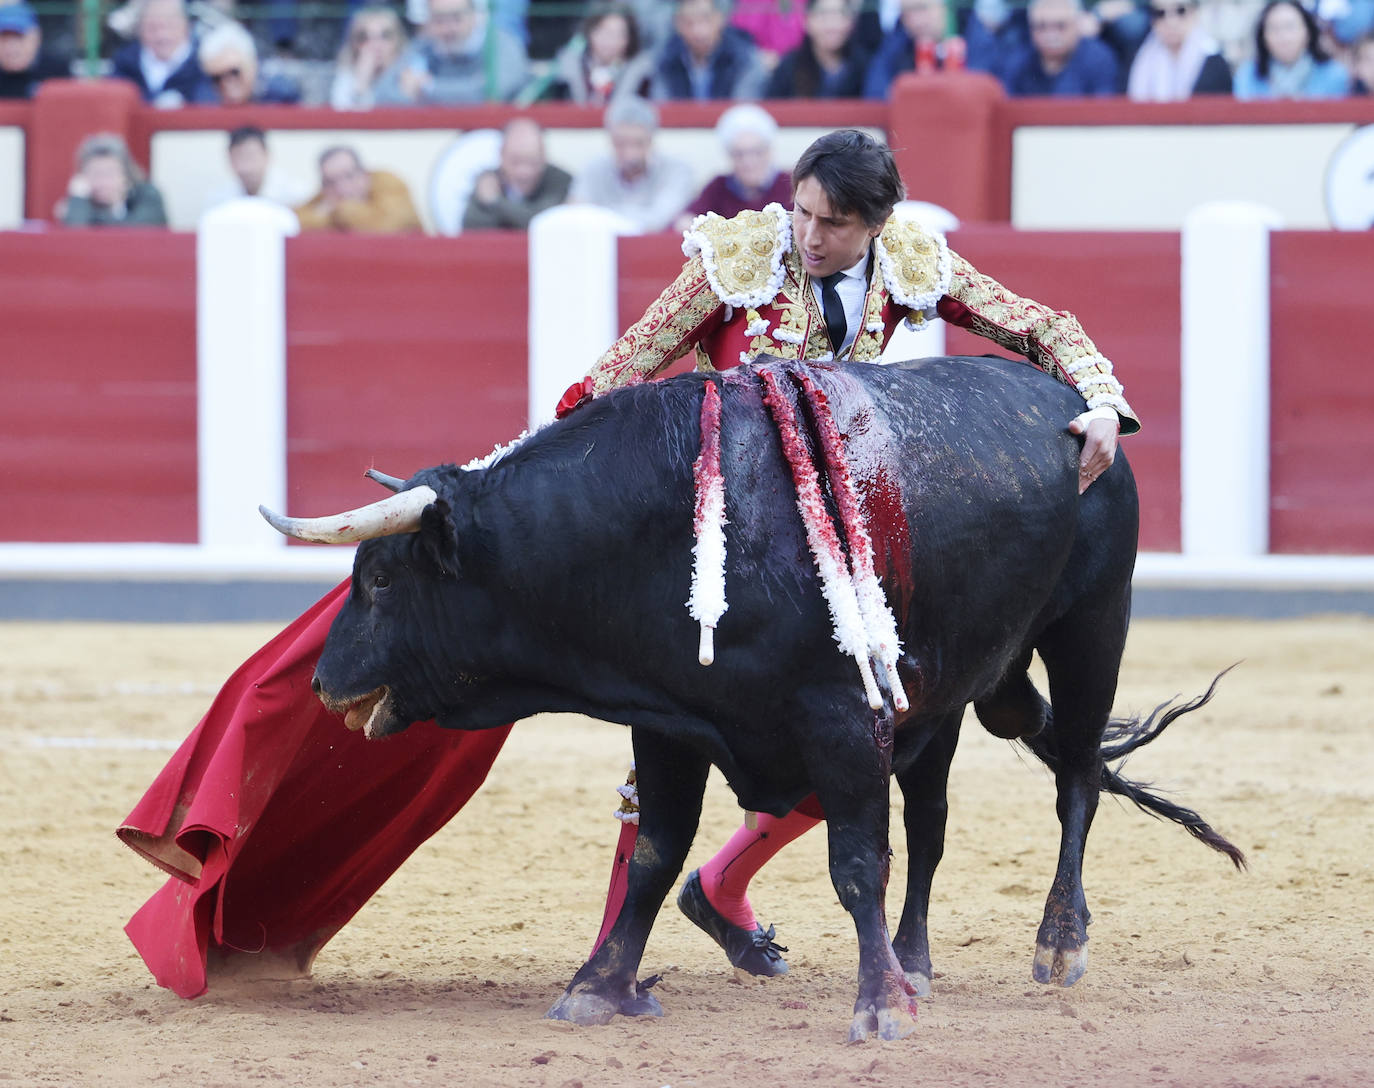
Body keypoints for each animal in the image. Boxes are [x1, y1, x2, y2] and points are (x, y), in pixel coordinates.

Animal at [259, 357, 1247, 1038]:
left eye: (382, 579)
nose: (321, 681)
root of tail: (1078, 412)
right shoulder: (667, 720)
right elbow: (656, 855)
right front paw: (596, 987)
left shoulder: (843, 717)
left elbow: (855, 863)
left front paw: (879, 1010)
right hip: (948, 693)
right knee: (934, 822)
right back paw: (916, 961)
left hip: (1092, 624)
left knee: (1074, 774)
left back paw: (1058, 942)